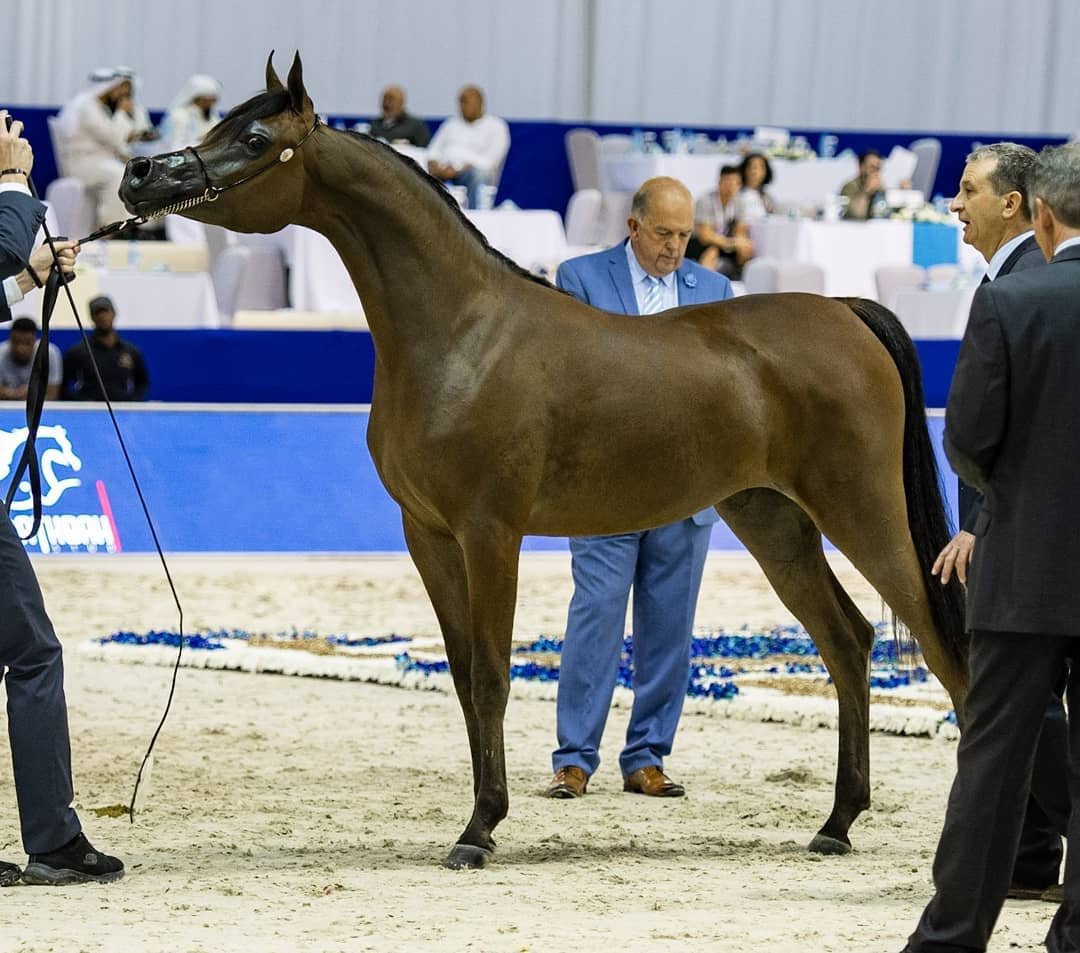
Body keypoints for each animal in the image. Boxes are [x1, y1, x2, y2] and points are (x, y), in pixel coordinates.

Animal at [119, 53, 968, 870]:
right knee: (848, 641)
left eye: (255, 139)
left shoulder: (491, 531)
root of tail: (846, 313)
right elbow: (463, 675)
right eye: (218, 122)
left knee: (937, 636)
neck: (463, 332)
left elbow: (494, 673)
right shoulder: (428, 535)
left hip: (861, 510)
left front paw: (479, 830)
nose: (141, 173)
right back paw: (836, 823)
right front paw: (479, 819)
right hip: (774, 520)